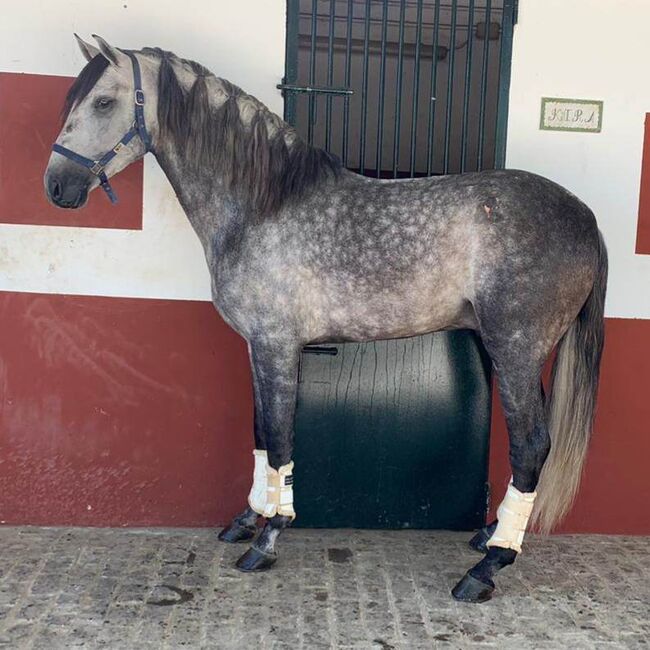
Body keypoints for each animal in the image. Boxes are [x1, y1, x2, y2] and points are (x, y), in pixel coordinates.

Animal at [43, 36, 604, 604]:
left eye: (104, 102)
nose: (57, 186)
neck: (262, 206)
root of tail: (584, 215)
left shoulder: (276, 343)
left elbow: (280, 436)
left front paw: (268, 538)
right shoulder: (258, 346)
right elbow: (260, 432)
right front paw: (247, 519)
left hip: (514, 347)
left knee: (531, 446)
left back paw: (488, 566)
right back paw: (490, 536)